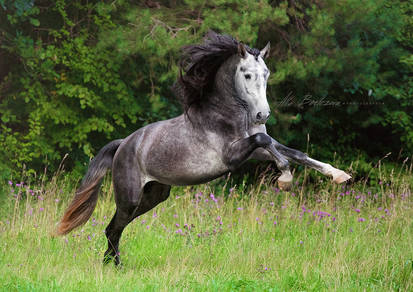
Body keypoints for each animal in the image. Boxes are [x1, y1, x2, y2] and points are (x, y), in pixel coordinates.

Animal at [56, 32, 350, 264]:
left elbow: (290, 151)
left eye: (266, 74)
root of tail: (123, 145)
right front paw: (286, 178)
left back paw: (112, 264)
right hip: (129, 198)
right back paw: (113, 266)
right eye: (246, 75)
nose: (262, 115)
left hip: (154, 195)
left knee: (115, 229)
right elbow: (266, 142)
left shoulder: (254, 152)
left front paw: (338, 175)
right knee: (112, 229)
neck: (226, 114)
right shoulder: (232, 156)